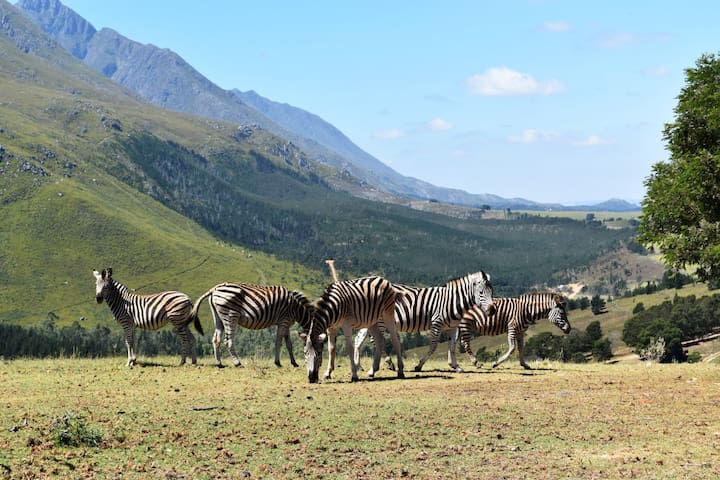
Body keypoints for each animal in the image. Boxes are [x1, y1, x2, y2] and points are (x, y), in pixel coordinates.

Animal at [352, 272, 498, 374]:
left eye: (492, 291)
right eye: (481, 293)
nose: (493, 310)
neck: (452, 301)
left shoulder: (452, 327)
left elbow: (452, 347)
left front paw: (456, 366)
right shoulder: (437, 323)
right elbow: (433, 346)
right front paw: (419, 365)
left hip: (370, 319)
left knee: (359, 339)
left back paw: (358, 365)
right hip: (381, 320)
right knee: (373, 340)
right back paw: (390, 363)